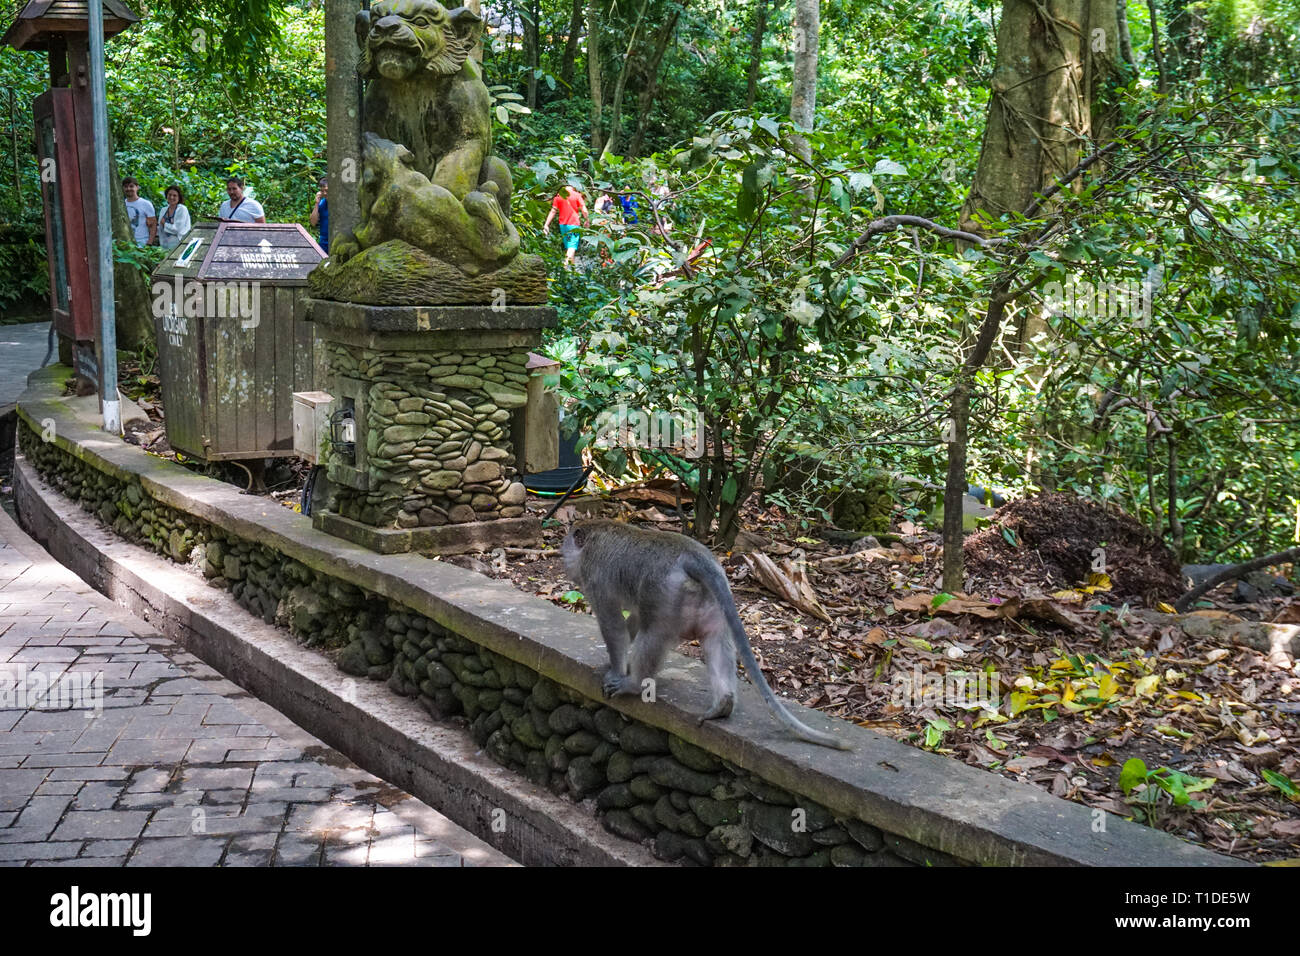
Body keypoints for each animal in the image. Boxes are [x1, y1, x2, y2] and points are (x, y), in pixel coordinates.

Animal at [562, 520, 852, 751]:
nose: (562, 558)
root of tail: (693, 557)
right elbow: (632, 618)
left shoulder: (596, 579)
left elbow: (614, 626)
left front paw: (616, 670)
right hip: (712, 603)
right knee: (716, 643)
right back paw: (723, 704)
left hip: (667, 597)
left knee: (652, 633)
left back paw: (634, 685)